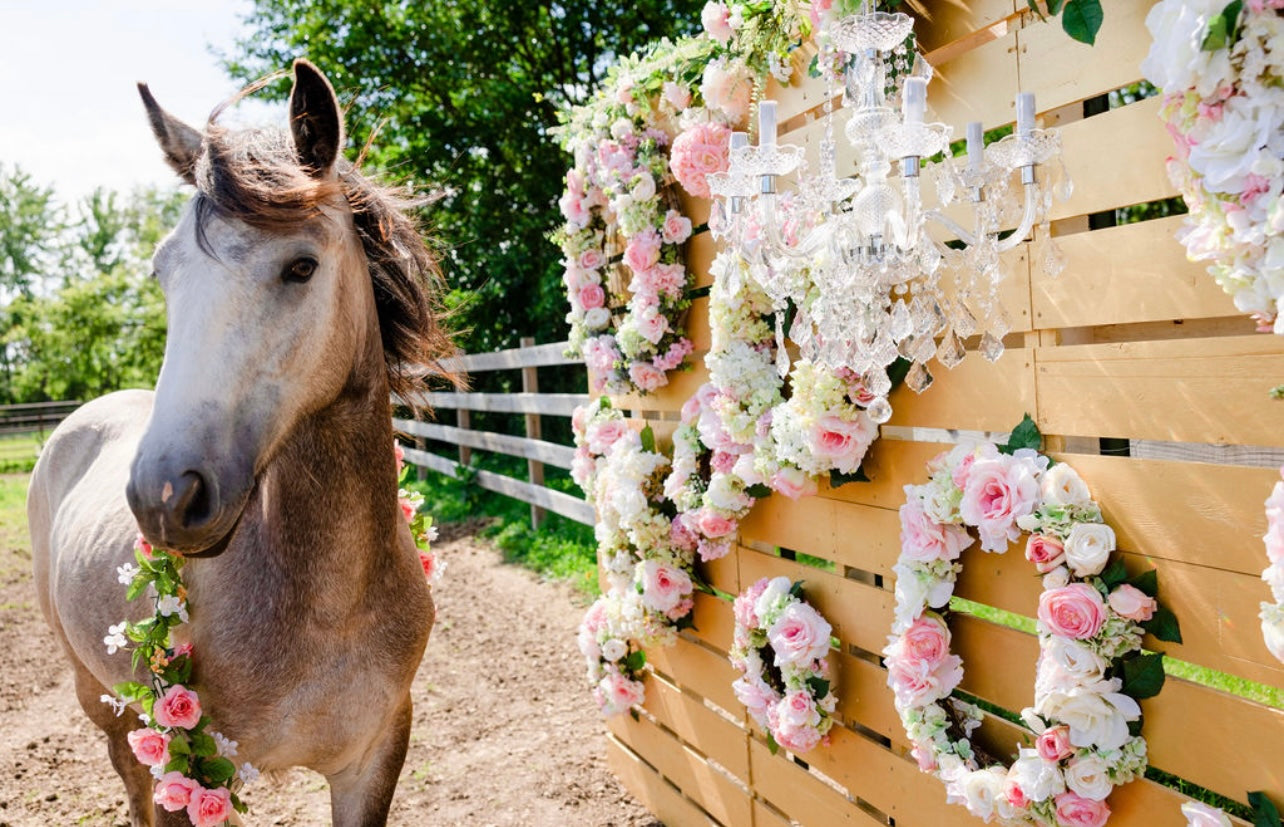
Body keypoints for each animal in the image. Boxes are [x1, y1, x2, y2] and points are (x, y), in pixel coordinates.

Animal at [26, 61, 457, 821]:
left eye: (301, 266)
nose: (165, 495)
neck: (331, 608)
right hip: (102, 703)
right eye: (163, 273)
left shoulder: (375, 759)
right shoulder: (191, 769)